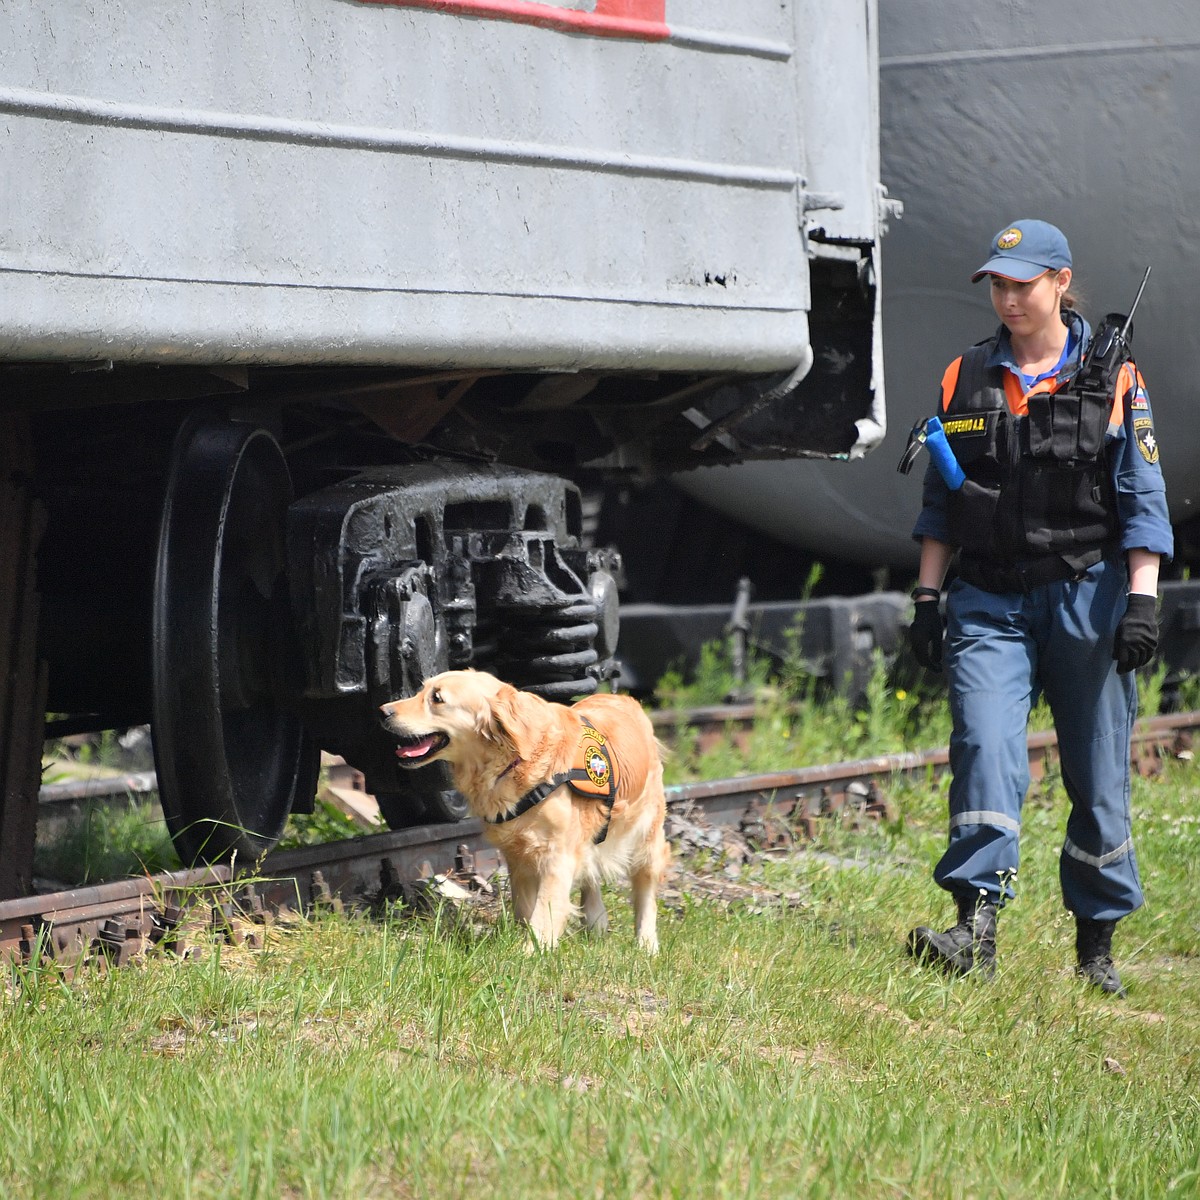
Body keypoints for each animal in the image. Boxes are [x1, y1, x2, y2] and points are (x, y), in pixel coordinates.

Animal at [379, 672, 672, 950]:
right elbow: (524, 906)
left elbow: (545, 910)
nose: (383, 711)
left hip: (647, 833)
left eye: (437, 698)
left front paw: (532, 951)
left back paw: (647, 943)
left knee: (645, 887)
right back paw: (596, 920)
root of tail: (625, 699)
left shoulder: (557, 854)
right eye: (422, 690)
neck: (513, 762)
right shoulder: (517, 854)